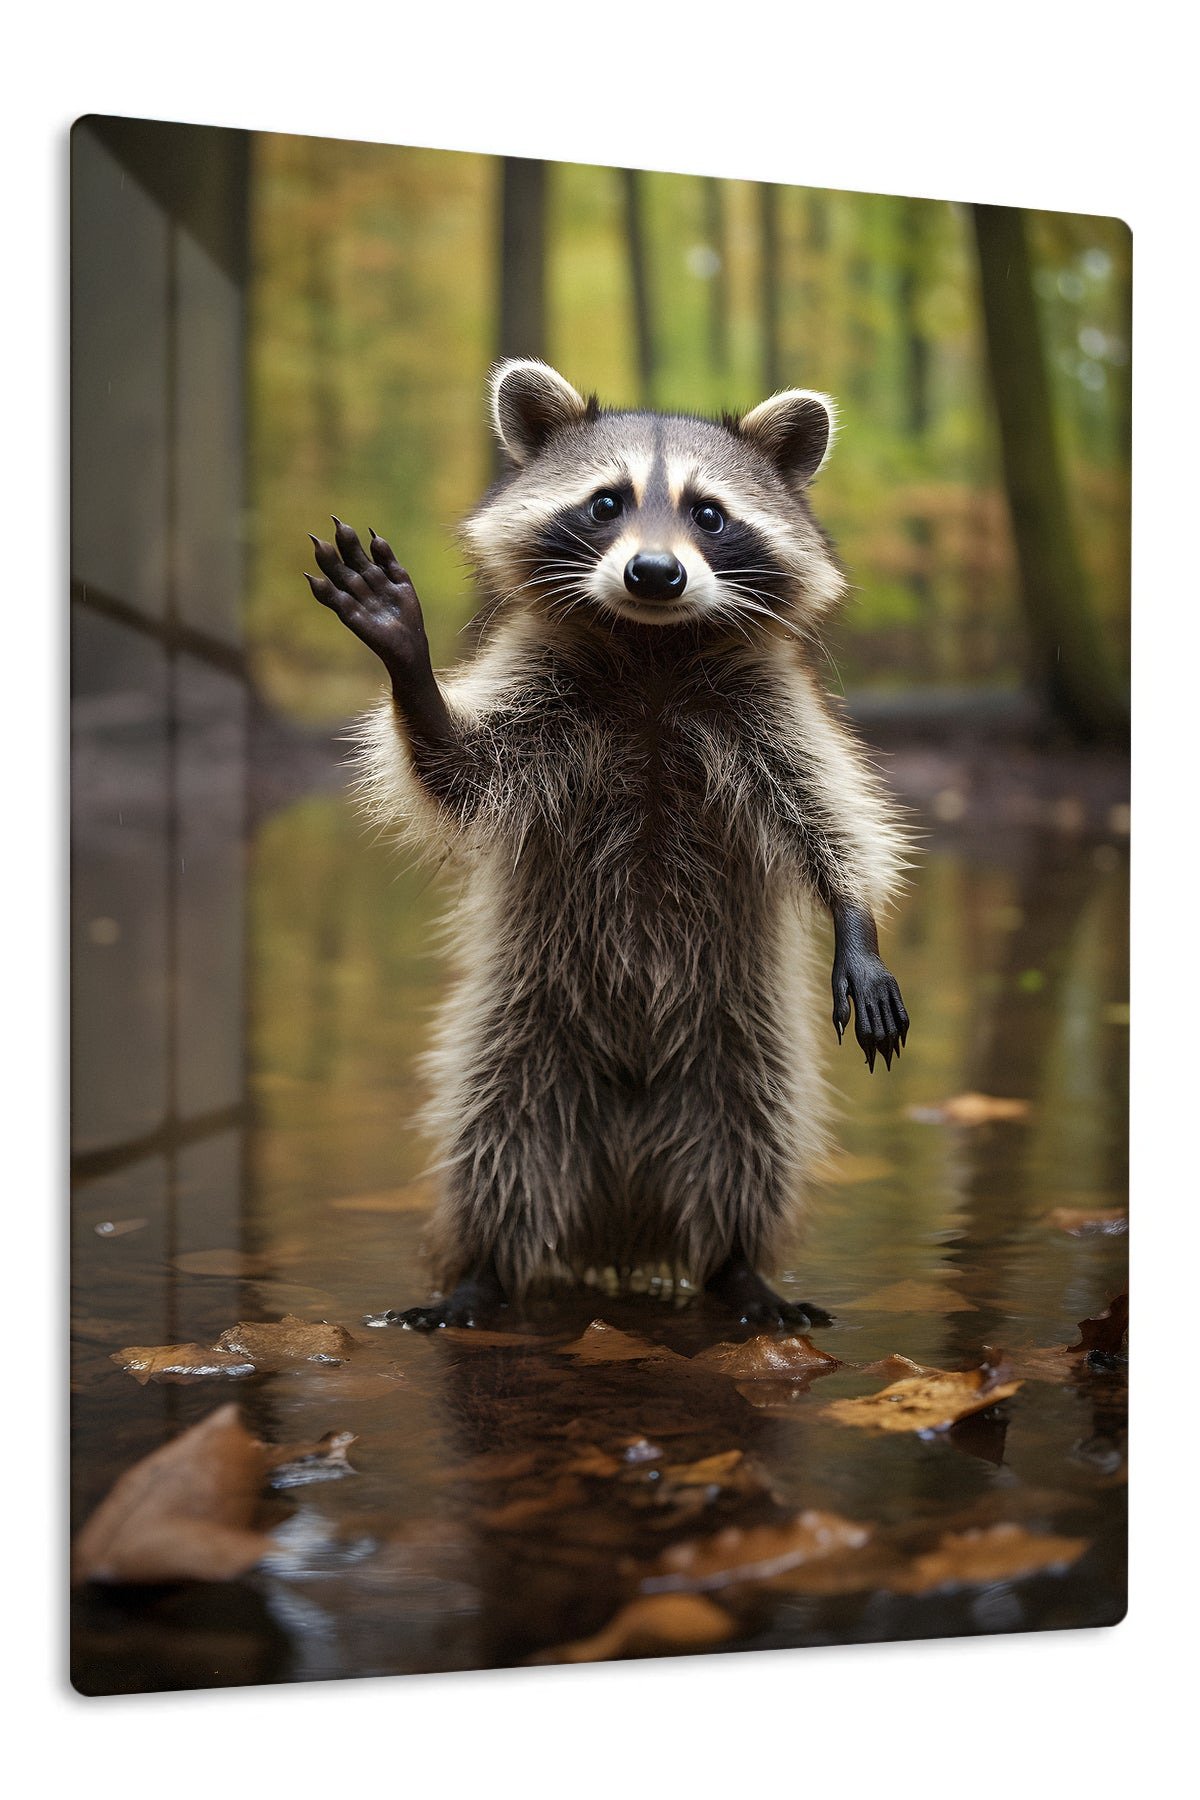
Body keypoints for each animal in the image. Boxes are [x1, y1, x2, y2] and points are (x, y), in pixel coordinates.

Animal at [305, 359, 909, 1330]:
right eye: (605, 502)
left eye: (710, 514)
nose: (654, 573)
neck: (652, 652)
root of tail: (620, 1226)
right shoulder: (548, 683)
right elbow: (456, 771)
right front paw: (412, 672)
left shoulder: (768, 704)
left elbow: (830, 812)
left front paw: (859, 920)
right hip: (520, 1022)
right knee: (497, 1139)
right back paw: (485, 1269)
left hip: (741, 1029)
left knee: (752, 1138)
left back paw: (738, 1266)